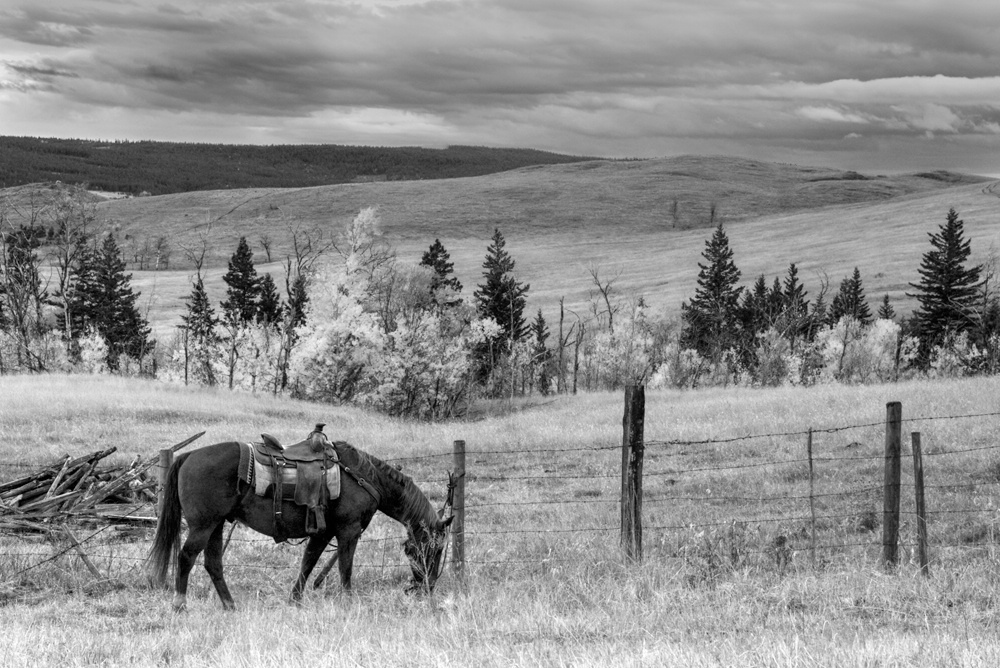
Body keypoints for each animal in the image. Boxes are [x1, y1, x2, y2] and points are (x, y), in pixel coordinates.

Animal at [146, 434, 454, 612]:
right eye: (434, 549)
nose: (427, 586)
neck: (364, 477)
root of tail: (188, 455)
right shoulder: (348, 531)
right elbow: (345, 567)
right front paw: (348, 601)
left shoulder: (322, 532)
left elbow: (308, 562)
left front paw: (294, 600)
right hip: (203, 525)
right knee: (186, 557)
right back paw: (180, 605)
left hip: (217, 525)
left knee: (213, 564)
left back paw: (230, 605)